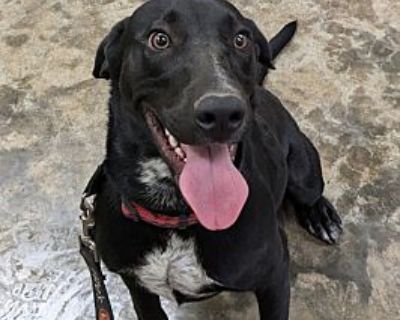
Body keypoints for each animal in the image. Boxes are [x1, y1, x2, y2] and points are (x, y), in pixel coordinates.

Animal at [89, 1, 342, 318]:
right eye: (159, 39)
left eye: (241, 39)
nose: (223, 111)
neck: (177, 218)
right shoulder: (138, 287)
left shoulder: (275, 275)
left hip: (304, 171)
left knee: (311, 192)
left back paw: (320, 215)